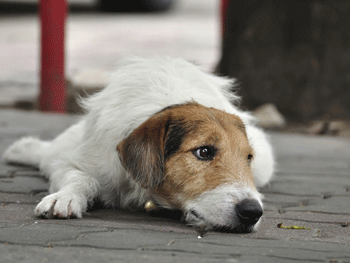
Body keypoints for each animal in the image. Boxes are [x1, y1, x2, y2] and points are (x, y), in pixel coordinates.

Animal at [4, 57, 274, 233]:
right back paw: (21, 149)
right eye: (204, 151)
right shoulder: (80, 161)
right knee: (48, 153)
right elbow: (81, 178)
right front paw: (66, 197)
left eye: (248, 158)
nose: (252, 212)